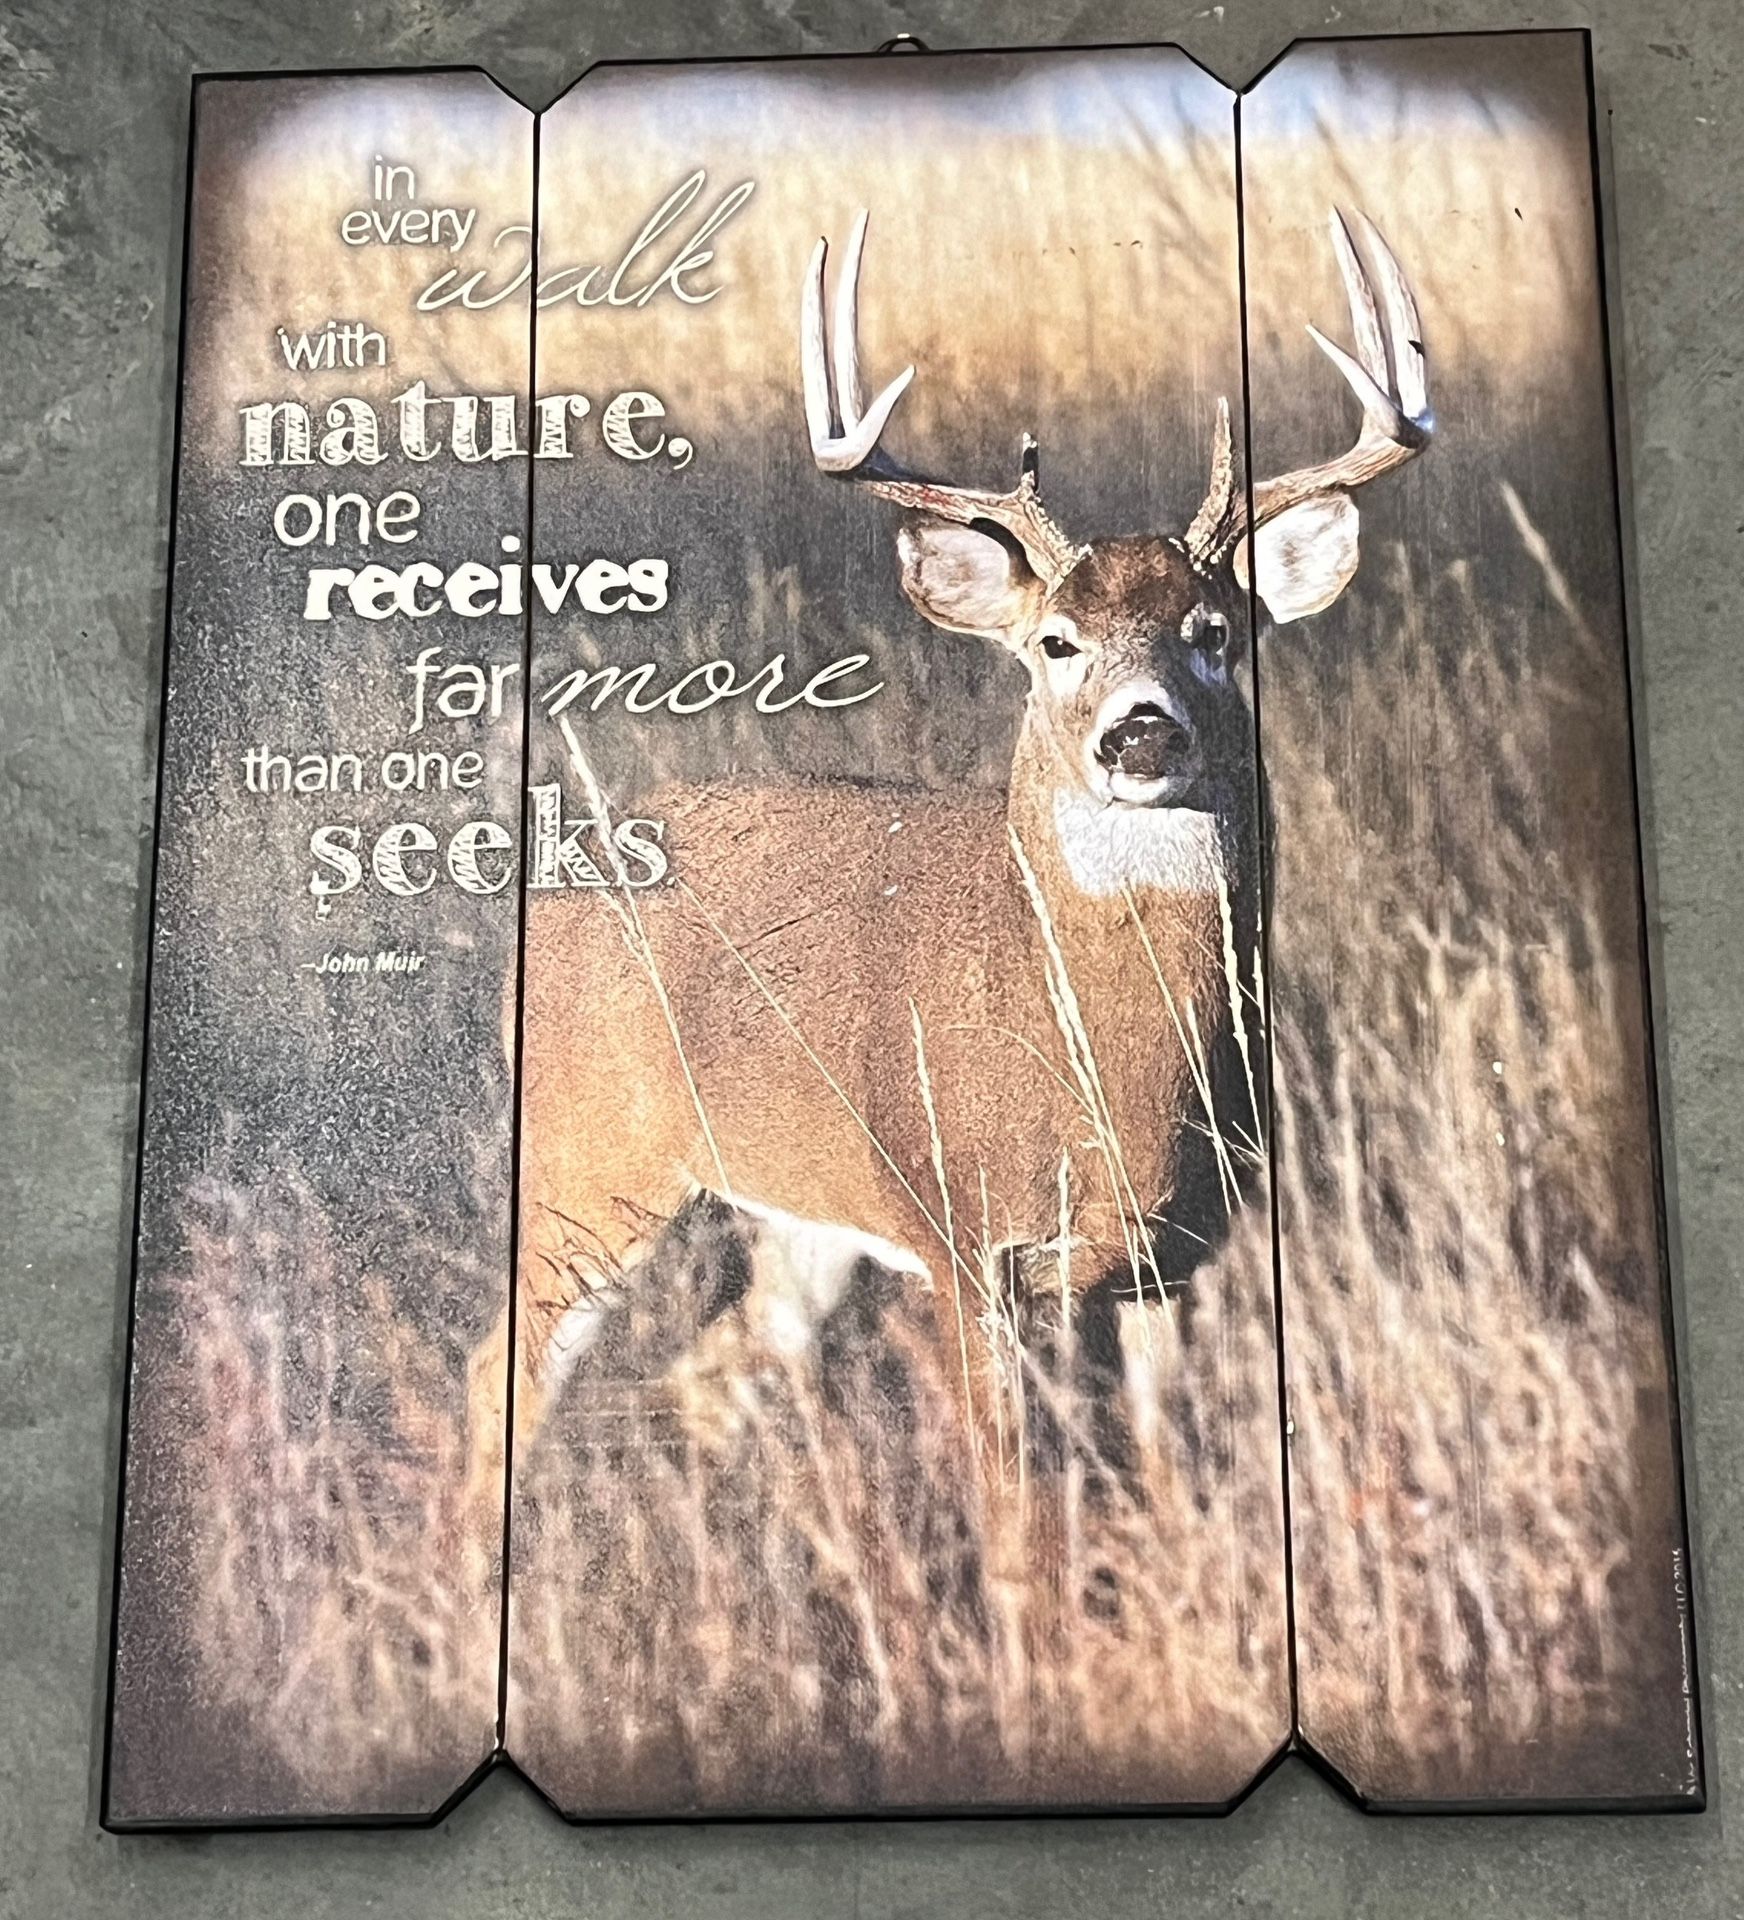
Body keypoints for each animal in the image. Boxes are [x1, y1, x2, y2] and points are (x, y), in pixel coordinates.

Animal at [506, 208, 1432, 1481]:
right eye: (1054, 641)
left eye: (1213, 633)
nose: (1142, 732)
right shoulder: (961, 1235)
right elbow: (1014, 1508)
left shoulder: (1171, 1259)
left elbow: (1164, 1468)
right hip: (588, 1161)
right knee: (500, 1381)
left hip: (798, 1210)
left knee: (726, 1363)